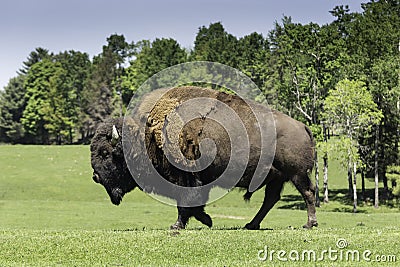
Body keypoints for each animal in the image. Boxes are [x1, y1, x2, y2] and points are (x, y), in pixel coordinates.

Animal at [90, 87, 318, 231]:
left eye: (105, 153)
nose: (95, 176)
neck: (146, 135)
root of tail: (302, 126)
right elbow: (194, 204)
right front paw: (207, 220)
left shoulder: (185, 178)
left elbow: (185, 203)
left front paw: (178, 225)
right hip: (277, 177)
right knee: (271, 199)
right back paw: (251, 225)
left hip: (296, 174)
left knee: (307, 192)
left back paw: (309, 224)